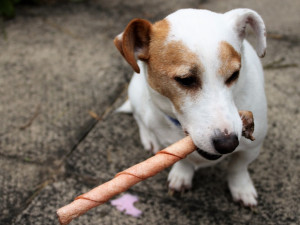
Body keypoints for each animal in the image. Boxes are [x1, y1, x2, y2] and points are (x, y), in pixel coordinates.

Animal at [114, 7, 268, 207]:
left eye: (235, 74)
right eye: (185, 80)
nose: (228, 144)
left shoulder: (252, 148)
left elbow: (237, 167)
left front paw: (241, 188)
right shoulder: (171, 146)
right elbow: (183, 161)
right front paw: (182, 174)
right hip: (136, 95)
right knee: (139, 117)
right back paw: (149, 138)